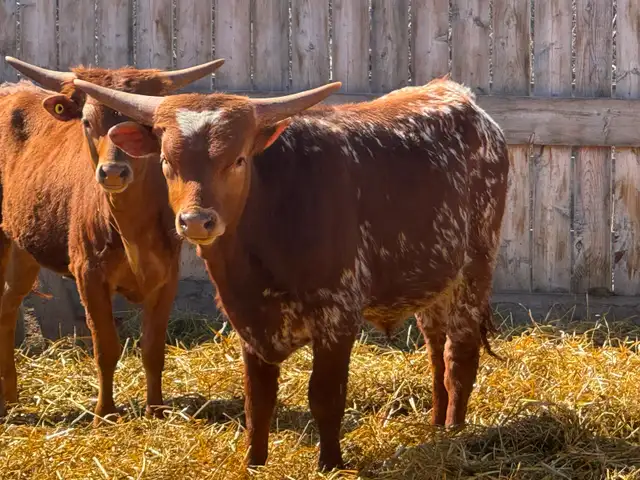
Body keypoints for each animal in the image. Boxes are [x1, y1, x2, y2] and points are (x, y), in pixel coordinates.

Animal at [0, 57, 223, 421]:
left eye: (141, 126)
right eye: (87, 121)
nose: (113, 172)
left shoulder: (167, 276)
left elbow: (153, 347)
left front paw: (156, 409)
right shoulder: (88, 273)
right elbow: (105, 346)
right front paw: (104, 411)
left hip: (24, 243)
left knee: (8, 302)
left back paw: (10, 395)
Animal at [72, 76, 509, 470]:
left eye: (238, 160)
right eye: (166, 162)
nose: (196, 221)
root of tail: (460, 96)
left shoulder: (337, 316)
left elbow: (325, 396)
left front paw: (330, 464)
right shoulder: (247, 322)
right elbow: (258, 399)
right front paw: (255, 462)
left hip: (475, 270)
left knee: (460, 354)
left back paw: (455, 432)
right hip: (432, 281)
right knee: (436, 347)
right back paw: (437, 422)